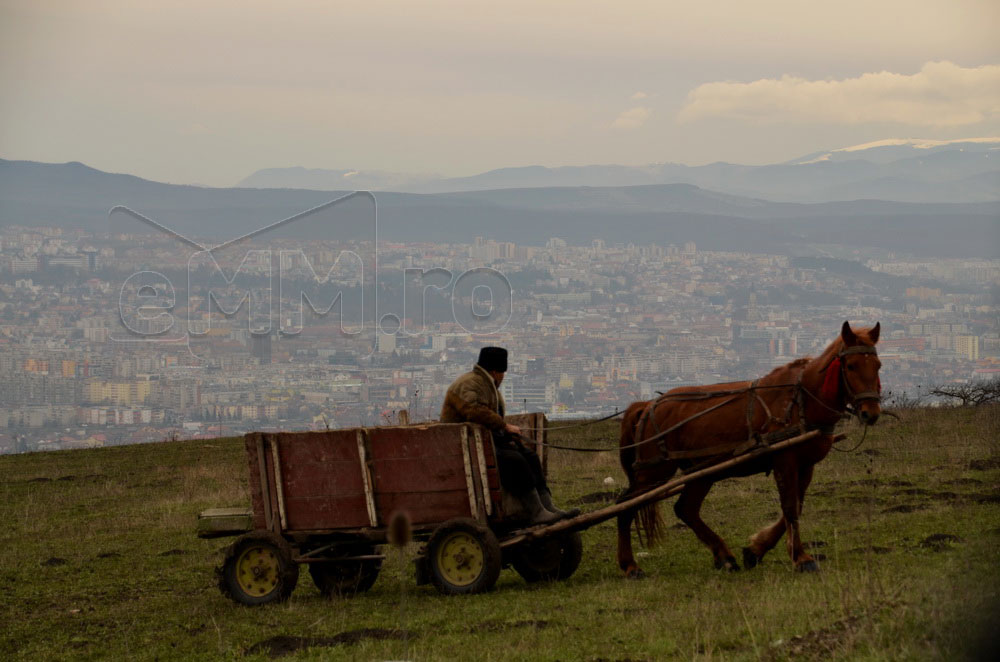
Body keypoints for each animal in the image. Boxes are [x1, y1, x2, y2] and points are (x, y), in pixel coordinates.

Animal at [612, 320, 880, 580]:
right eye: (851, 366)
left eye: (877, 365)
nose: (871, 413)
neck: (801, 400)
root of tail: (648, 404)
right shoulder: (784, 460)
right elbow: (790, 508)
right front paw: (801, 558)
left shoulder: (806, 465)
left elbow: (796, 506)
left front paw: (756, 550)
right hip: (655, 471)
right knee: (625, 506)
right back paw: (630, 565)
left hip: (701, 472)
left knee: (686, 509)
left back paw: (724, 557)